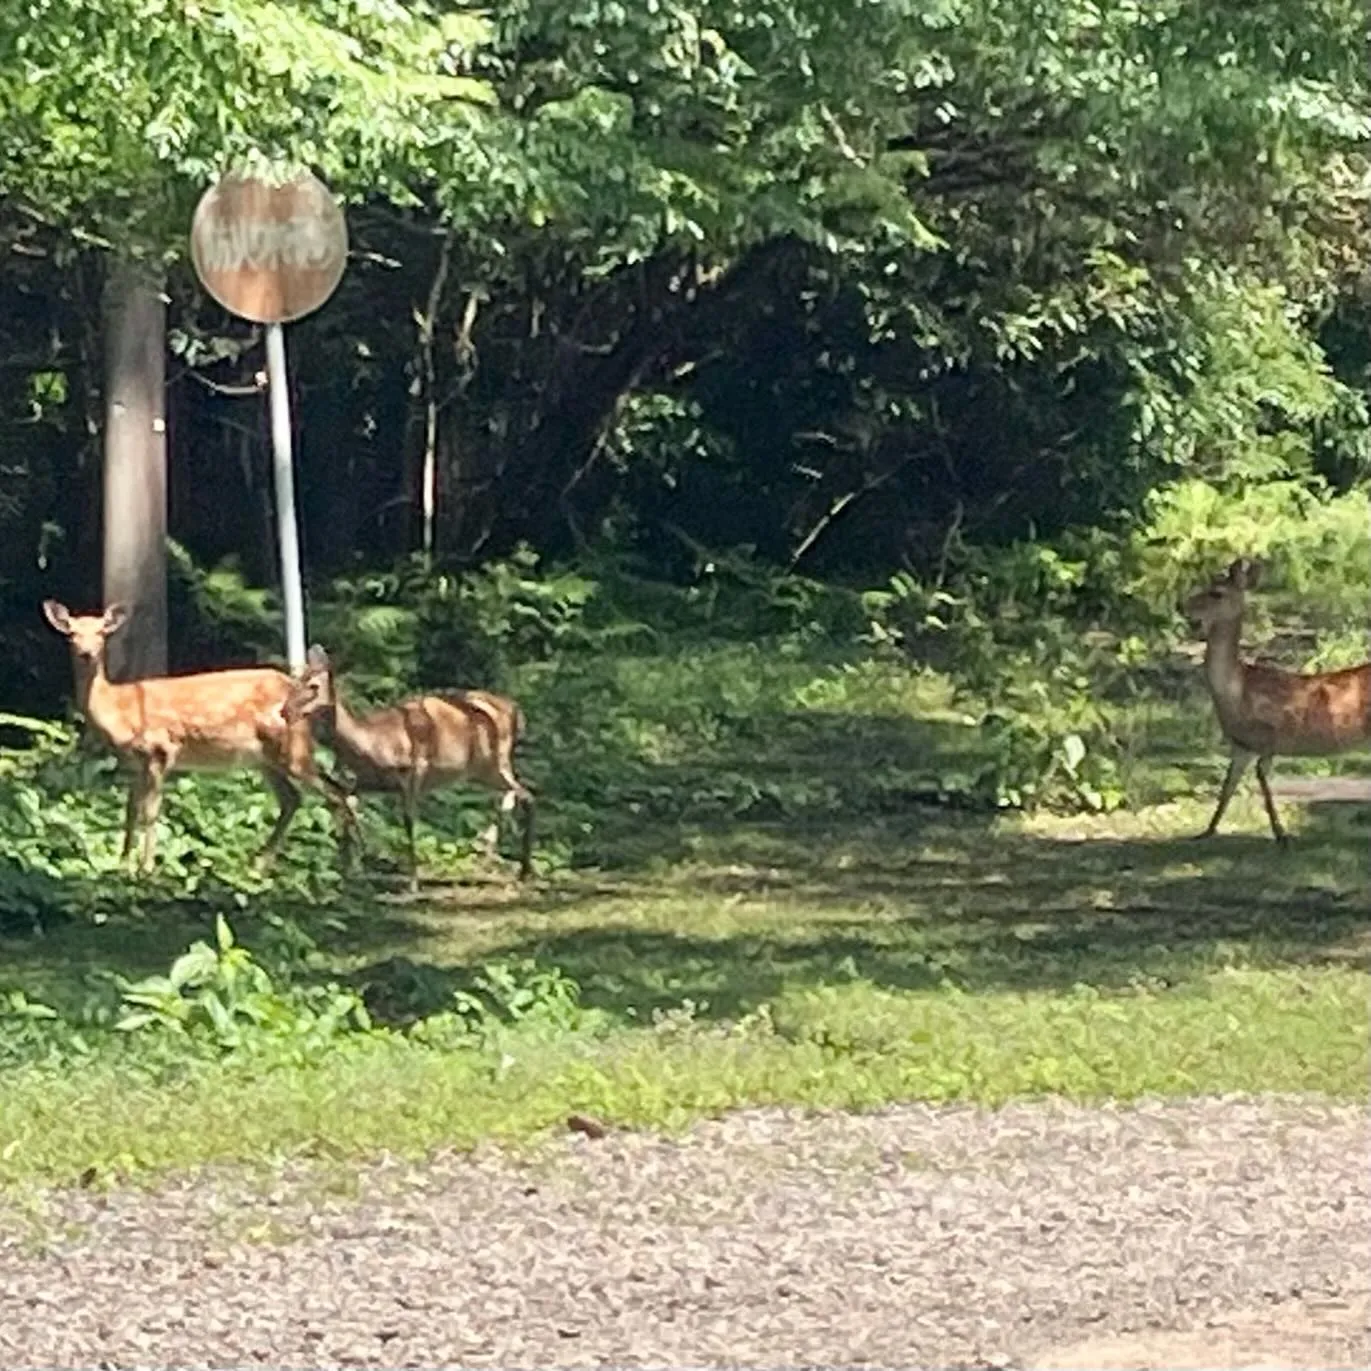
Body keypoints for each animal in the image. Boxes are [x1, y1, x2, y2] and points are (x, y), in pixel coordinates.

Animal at [42, 600, 361, 874]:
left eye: (101, 632)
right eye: (72, 632)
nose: (86, 653)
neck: (120, 710)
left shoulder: (161, 750)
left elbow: (150, 811)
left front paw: (146, 868)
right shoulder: (135, 762)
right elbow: (130, 809)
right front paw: (122, 864)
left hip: (293, 748)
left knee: (338, 793)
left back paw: (347, 866)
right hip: (266, 759)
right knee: (294, 799)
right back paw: (260, 864)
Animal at [281, 644, 534, 892]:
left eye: (314, 685)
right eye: (297, 679)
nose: (285, 710)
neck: (370, 745)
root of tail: (515, 710)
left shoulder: (414, 771)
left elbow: (409, 821)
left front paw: (412, 882)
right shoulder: (366, 781)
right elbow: (347, 807)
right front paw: (352, 868)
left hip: (497, 759)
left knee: (525, 795)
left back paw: (519, 869)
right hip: (482, 771)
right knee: (520, 794)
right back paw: (501, 854)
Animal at [1183, 557, 1371, 844]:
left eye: (1216, 593)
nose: (1184, 606)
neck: (1237, 691)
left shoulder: (1271, 736)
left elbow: (1261, 779)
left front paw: (1281, 833)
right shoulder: (1241, 745)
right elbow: (1227, 787)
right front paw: (1206, 831)